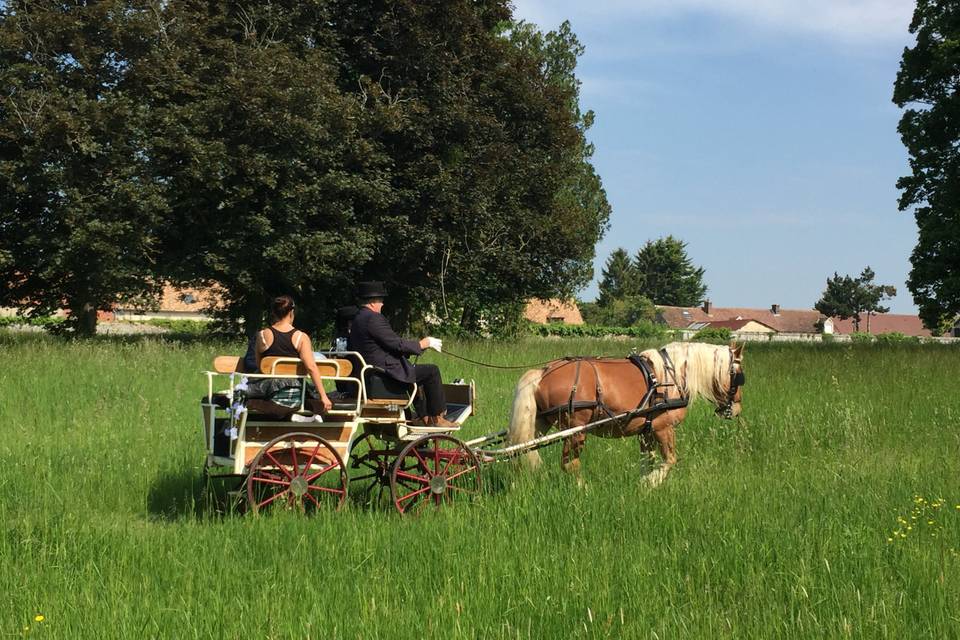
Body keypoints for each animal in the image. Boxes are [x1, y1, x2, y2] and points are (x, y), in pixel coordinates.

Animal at [506, 340, 748, 484]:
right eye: (738, 376)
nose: (736, 409)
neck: (671, 377)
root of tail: (543, 371)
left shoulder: (646, 432)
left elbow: (646, 462)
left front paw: (642, 485)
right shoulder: (663, 428)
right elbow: (669, 461)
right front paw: (651, 484)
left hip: (539, 423)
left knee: (521, 451)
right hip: (576, 430)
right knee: (569, 464)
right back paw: (585, 491)